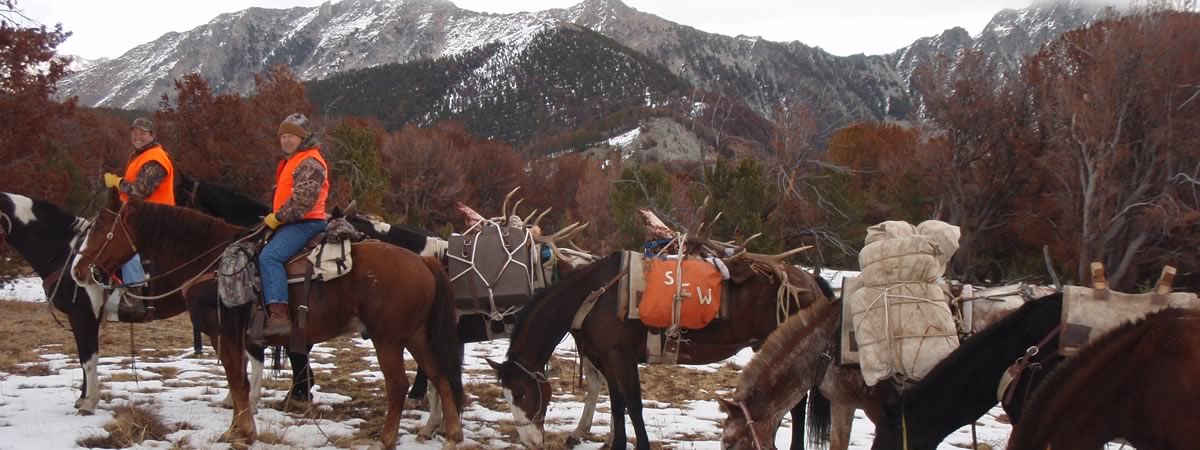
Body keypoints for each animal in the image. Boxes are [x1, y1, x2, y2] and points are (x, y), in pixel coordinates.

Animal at [70, 198, 463, 450]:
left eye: (102, 231)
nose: (77, 270)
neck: (214, 260)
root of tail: (425, 262)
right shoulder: (232, 336)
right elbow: (240, 381)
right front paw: (238, 429)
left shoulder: (225, 331)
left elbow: (236, 380)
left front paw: (242, 433)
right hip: (416, 336)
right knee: (441, 377)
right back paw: (451, 436)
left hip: (388, 339)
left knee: (398, 386)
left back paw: (387, 440)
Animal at [487, 252, 835, 448]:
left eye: (521, 394)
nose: (530, 442)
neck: (594, 297)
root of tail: (808, 279)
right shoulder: (608, 361)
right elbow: (617, 404)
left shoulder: (621, 359)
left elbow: (633, 405)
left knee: (797, 406)